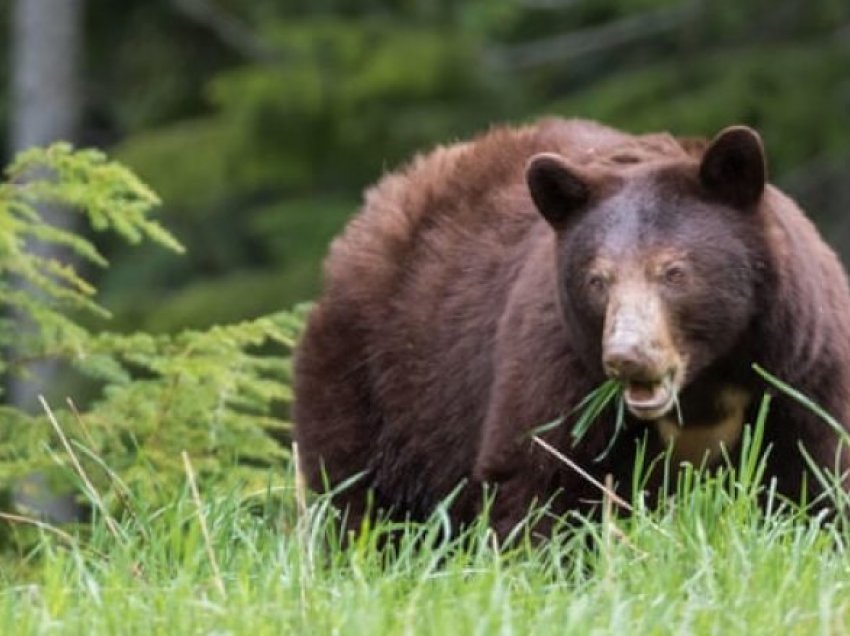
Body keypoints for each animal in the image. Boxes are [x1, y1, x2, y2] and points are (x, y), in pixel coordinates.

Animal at [292, 117, 848, 540]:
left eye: (674, 271)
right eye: (597, 279)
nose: (628, 355)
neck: (703, 386)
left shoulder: (802, 366)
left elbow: (819, 472)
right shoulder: (560, 362)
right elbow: (541, 472)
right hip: (378, 376)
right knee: (358, 491)